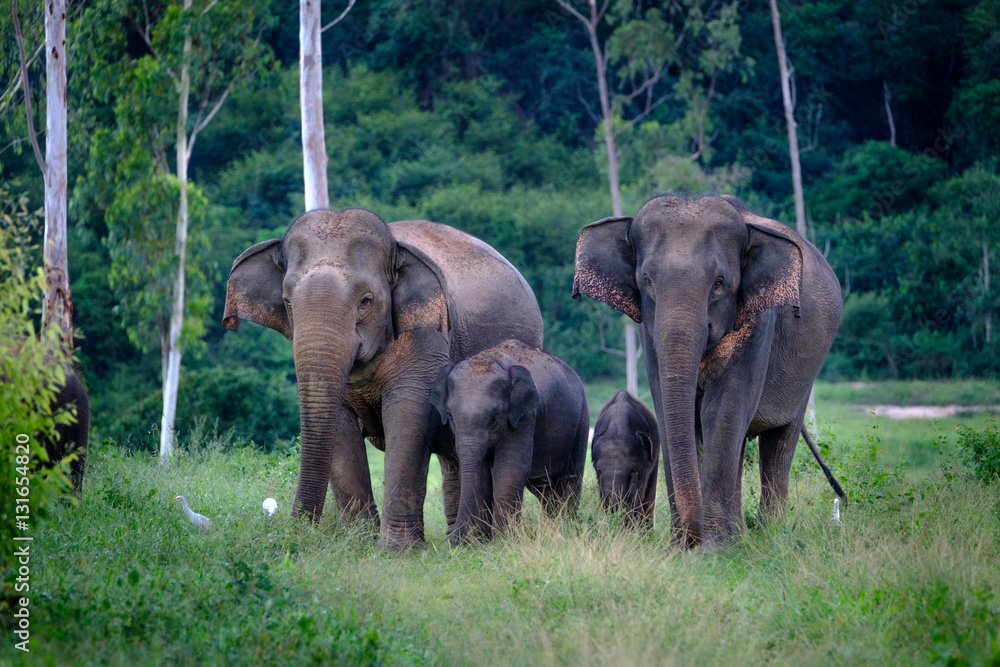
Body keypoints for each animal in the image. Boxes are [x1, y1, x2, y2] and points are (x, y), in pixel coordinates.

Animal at [223, 208, 543, 549]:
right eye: (286, 301)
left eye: (366, 300)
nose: (297, 530)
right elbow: (339, 428)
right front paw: (360, 544)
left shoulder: (426, 339)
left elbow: (406, 421)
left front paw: (397, 551)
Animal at [429, 339, 589, 544]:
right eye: (449, 415)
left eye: (495, 416)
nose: (451, 542)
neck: (491, 359)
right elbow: (481, 473)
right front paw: (482, 540)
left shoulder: (524, 416)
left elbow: (510, 469)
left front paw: (505, 540)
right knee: (542, 486)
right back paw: (554, 526)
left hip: (581, 419)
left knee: (570, 477)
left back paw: (567, 526)